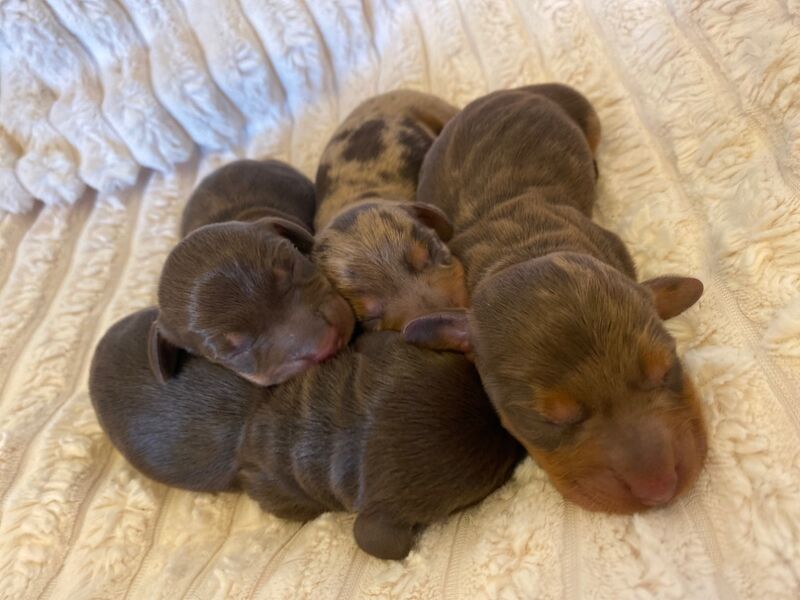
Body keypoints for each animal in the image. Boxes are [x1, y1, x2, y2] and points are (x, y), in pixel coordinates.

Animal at [406, 84, 708, 512]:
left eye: (665, 370)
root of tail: (518, 89)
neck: (525, 248)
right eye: (552, 419)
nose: (660, 490)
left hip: (588, 118)